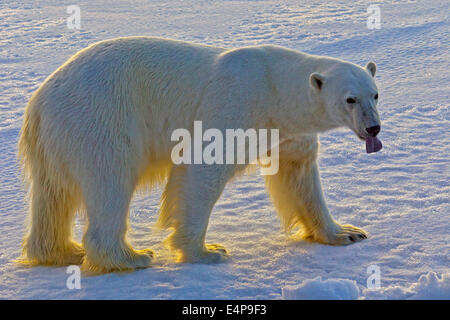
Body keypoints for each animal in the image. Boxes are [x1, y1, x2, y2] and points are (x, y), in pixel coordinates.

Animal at [18, 37, 384, 272]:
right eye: (350, 99)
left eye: (375, 94)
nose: (373, 128)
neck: (274, 89)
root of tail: (39, 100)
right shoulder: (234, 103)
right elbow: (203, 169)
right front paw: (207, 251)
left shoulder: (287, 131)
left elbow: (299, 176)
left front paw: (346, 233)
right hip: (100, 118)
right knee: (110, 181)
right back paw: (131, 257)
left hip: (56, 141)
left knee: (53, 195)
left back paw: (62, 251)